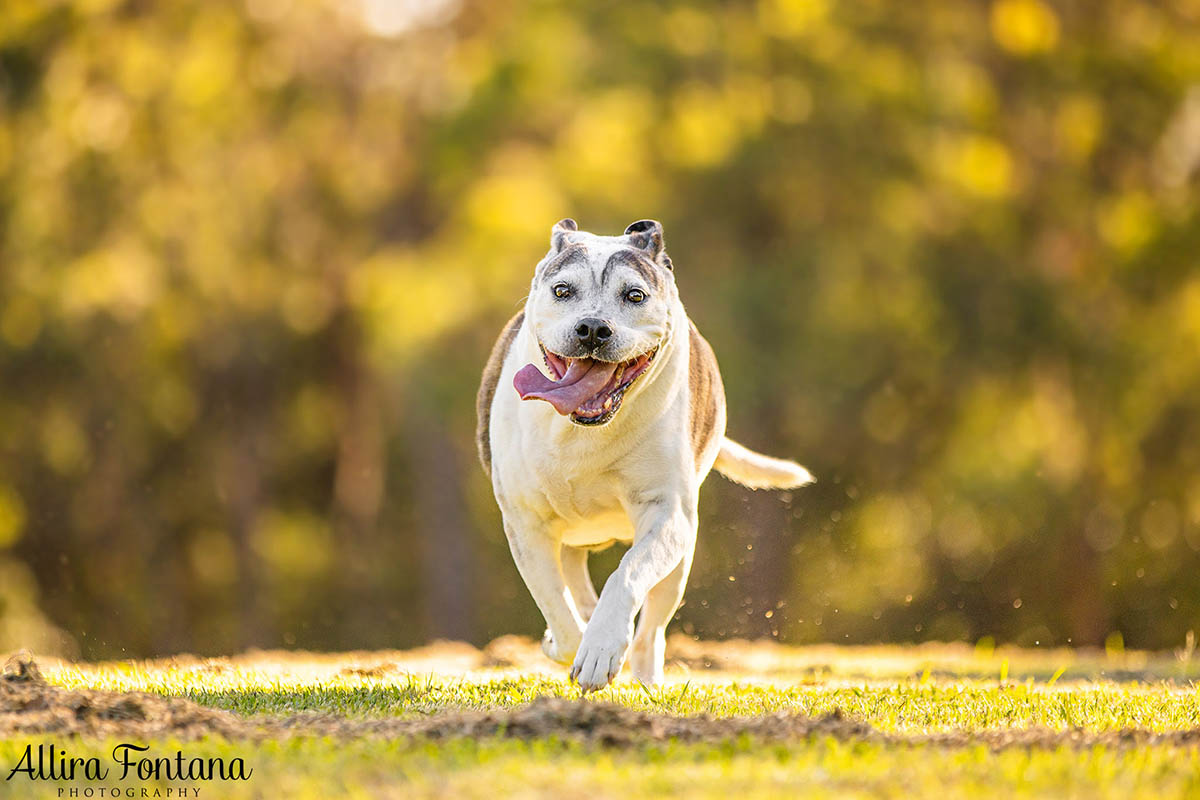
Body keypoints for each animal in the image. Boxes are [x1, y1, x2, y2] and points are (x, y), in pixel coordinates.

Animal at [472, 220, 811, 695]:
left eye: (634, 295)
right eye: (562, 290)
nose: (593, 328)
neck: (584, 429)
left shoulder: (667, 514)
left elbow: (627, 573)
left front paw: (601, 647)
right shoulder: (527, 524)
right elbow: (557, 608)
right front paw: (572, 643)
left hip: (680, 562)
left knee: (651, 629)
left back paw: (647, 679)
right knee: (575, 590)